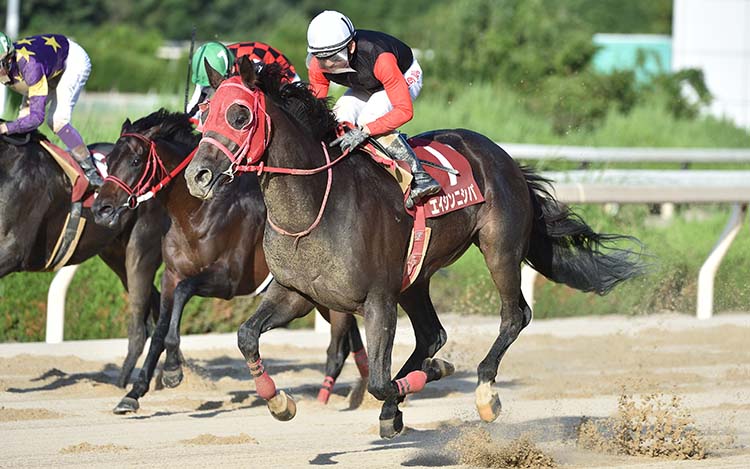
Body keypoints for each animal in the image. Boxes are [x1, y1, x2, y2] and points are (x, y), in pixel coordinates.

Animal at [92, 110, 368, 414]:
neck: (196, 212)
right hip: (322, 298)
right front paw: (133, 393)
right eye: (108, 160)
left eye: (135, 160)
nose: (101, 209)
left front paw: (173, 370)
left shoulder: (227, 279)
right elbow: (161, 328)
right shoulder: (171, 275)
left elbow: (183, 294)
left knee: (338, 346)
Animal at [184, 59, 648, 438]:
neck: (314, 205)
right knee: (432, 334)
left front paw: (428, 379)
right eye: (204, 114)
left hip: (498, 248)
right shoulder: (296, 293)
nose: (197, 176)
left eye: (239, 114)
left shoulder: (378, 300)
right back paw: (406, 398)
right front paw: (280, 402)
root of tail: (502, 156)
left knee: (514, 315)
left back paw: (483, 392)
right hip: (416, 277)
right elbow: (246, 336)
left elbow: (378, 380)